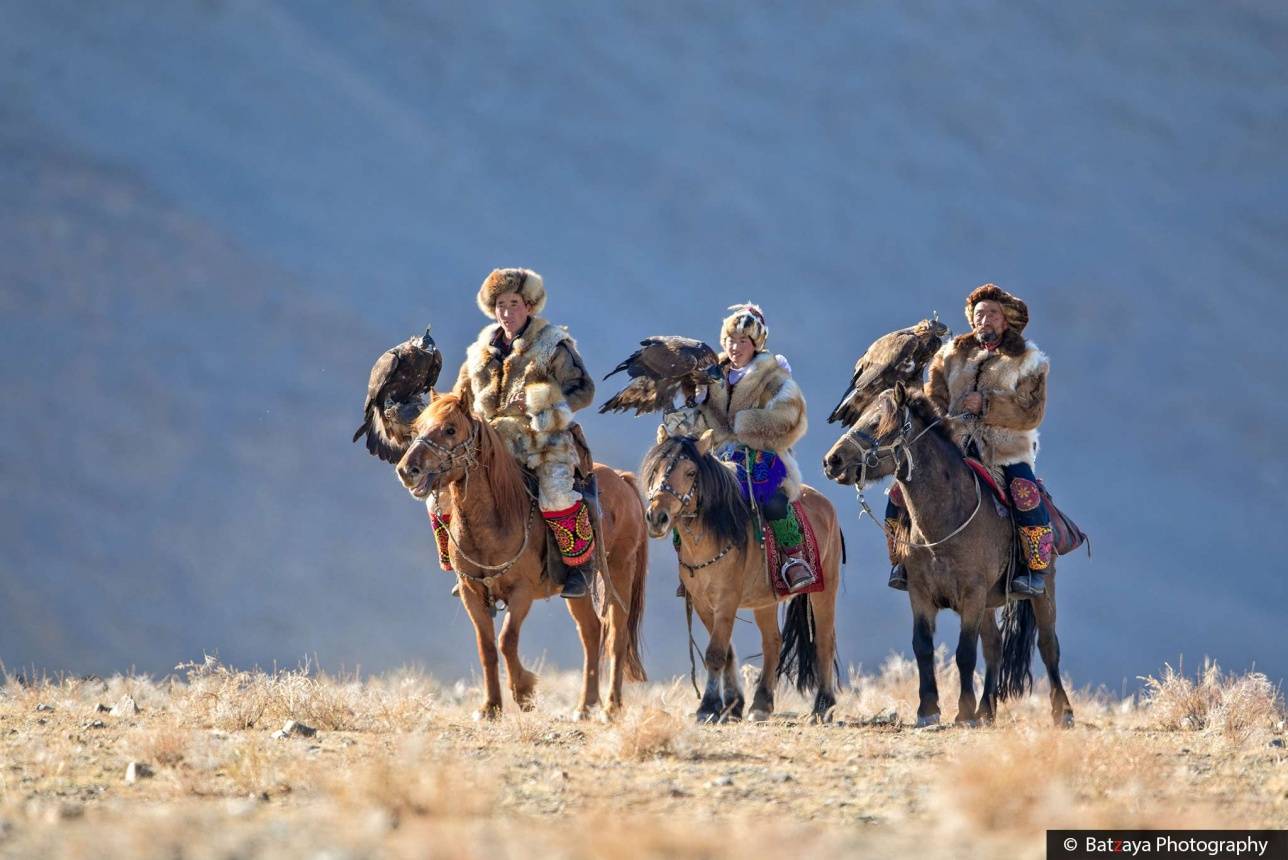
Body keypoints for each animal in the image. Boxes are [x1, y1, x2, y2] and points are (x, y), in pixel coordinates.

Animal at [396, 396, 649, 720]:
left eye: (450, 429)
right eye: (416, 428)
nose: (407, 470)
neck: (497, 518)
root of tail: (623, 479)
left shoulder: (522, 593)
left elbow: (506, 640)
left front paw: (524, 692)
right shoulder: (471, 592)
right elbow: (487, 647)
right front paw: (491, 707)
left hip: (620, 571)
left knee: (616, 636)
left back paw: (611, 707)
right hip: (578, 590)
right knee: (592, 633)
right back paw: (584, 706)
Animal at [641, 427, 844, 720]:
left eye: (690, 472)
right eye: (655, 470)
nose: (657, 517)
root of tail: (825, 504)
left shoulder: (727, 600)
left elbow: (715, 652)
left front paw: (708, 707)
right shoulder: (702, 603)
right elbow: (725, 652)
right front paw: (732, 705)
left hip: (825, 590)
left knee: (824, 641)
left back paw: (823, 706)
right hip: (766, 600)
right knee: (773, 642)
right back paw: (761, 704)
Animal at [819, 386, 1071, 731]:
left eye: (875, 422)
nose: (832, 460)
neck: (946, 520)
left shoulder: (972, 595)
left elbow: (965, 653)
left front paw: (963, 713)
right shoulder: (920, 594)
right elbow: (923, 646)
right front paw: (928, 710)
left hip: (1043, 590)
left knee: (1048, 646)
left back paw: (1063, 712)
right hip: (990, 603)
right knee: (994, 647)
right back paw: (986, 711)